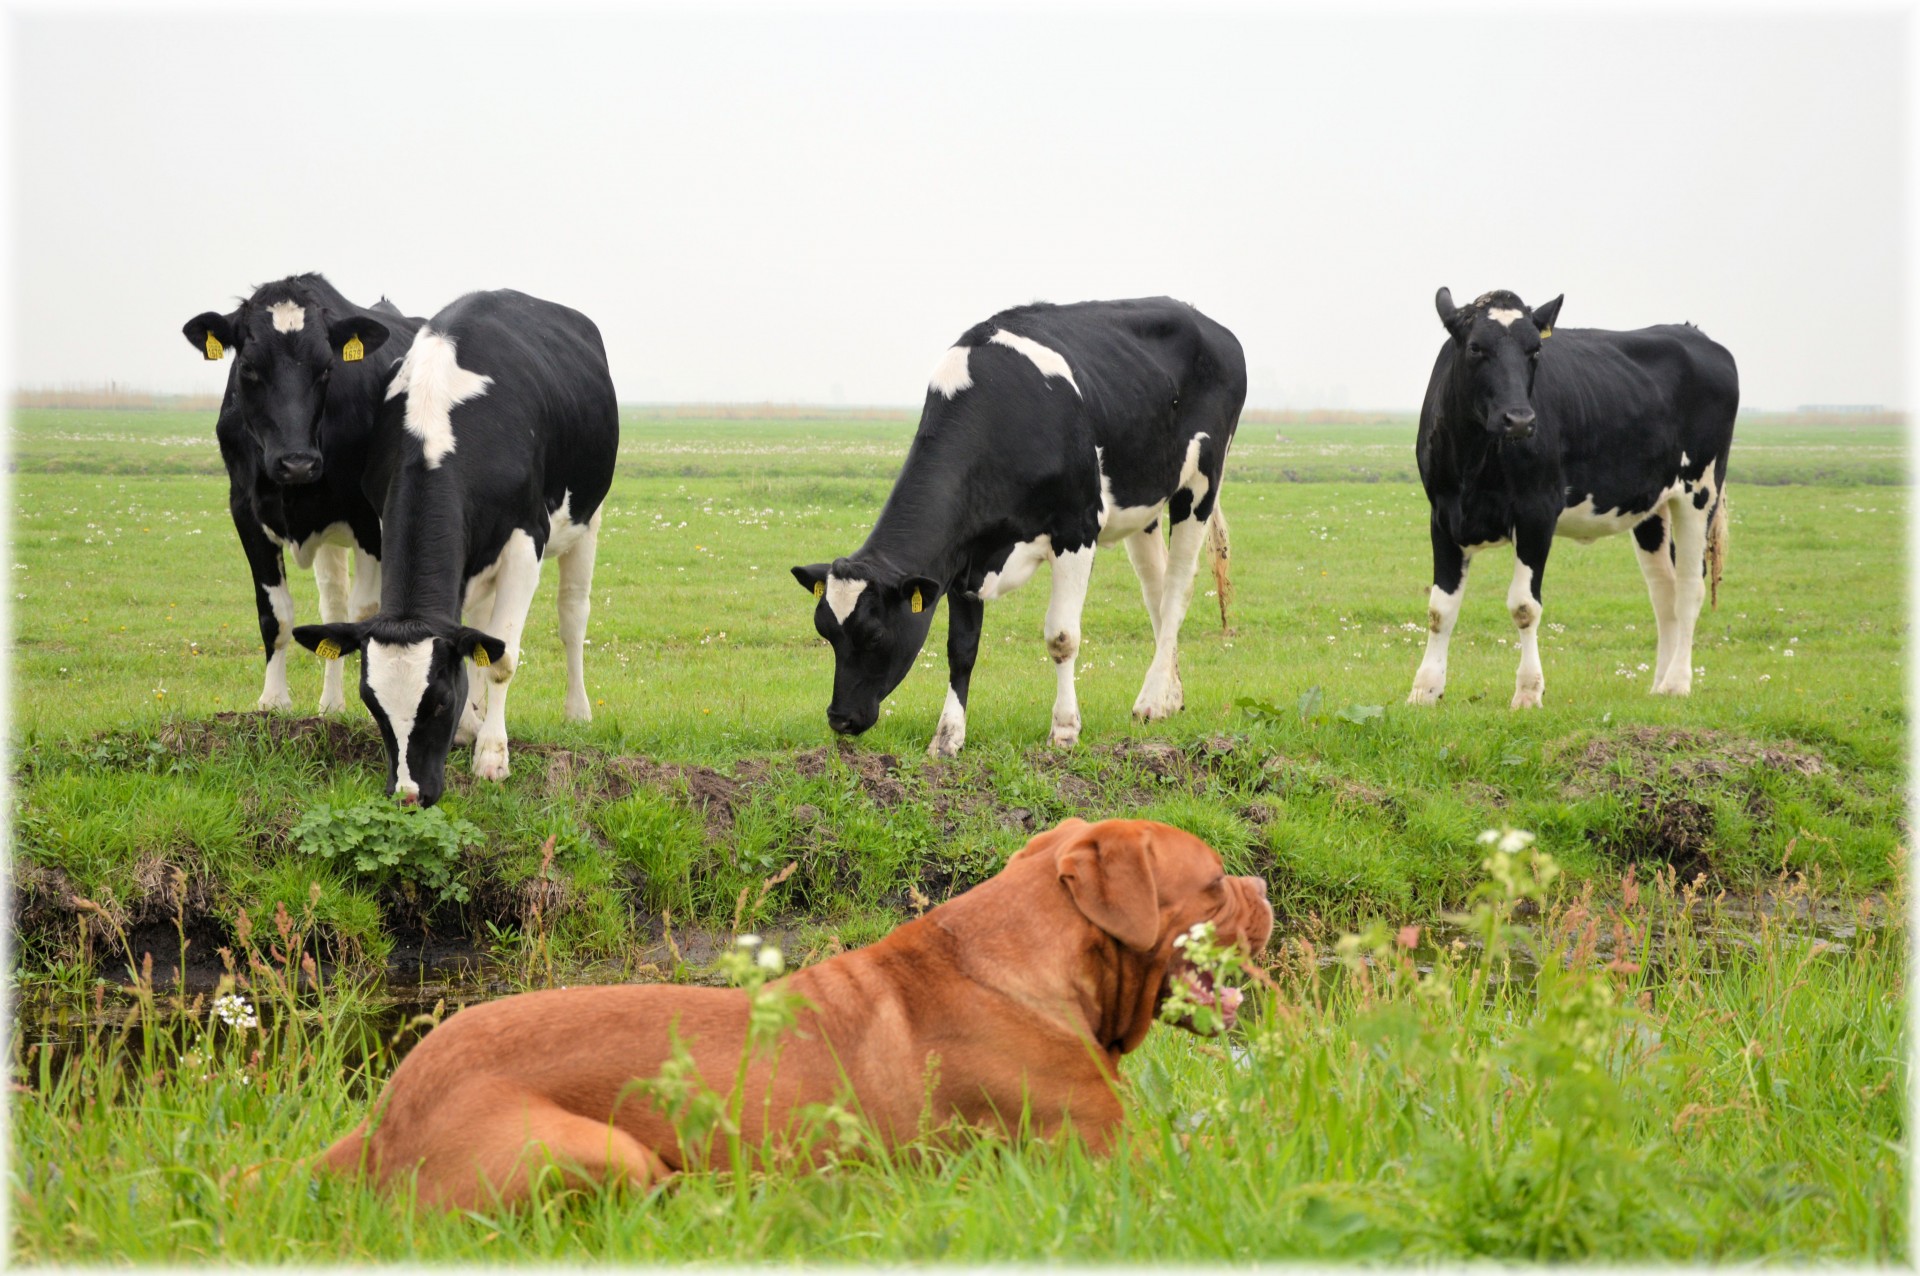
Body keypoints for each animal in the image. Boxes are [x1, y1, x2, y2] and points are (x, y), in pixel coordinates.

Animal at [180, 274, 420, 709]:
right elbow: (275, 614)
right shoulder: (245, 513)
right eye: (248, 366)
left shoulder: (369, 521)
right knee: (332, 606)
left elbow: (364, 612)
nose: (298, 463)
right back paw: (331, 704)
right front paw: (273, 700)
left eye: (327, 367)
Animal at [291, 289, 614, 805]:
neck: (436, 430)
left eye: (439, 703)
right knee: (478, 626)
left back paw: (576, 711)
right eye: (370, 702)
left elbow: (503, 657)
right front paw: (472, 729)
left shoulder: (526, 538)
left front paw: (492, 756)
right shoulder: (384, 518)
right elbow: (476, 644)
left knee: (571, 616)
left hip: (587, 518)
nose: (407, 793)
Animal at [320, 809, 1267, 1212]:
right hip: (603, 1152)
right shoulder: (1108, 1152)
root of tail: (386, 1117)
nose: (1263, 887)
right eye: (1217, 879)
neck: (1027, 964)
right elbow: (1217, 1150)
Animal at [791, 295, 1244, 756]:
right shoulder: (963, 556)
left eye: (876, 636)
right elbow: (960, 649)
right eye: (826, 633)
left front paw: (1064, 730)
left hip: (1201, 483)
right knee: (1156, 593)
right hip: (1144, 506)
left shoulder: (1076, 529)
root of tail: (1202, 318)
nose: (840, 718)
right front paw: (947, 737)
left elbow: (1062, 637)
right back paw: (1170, 697)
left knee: (1176, 592)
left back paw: (1150, 701)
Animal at [1413, 285, 1743, 706]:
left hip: (1699, 491)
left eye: (1535, 350)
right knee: (1663, 592)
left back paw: (1677, 682)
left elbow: (1524, 606)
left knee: (1689, 589)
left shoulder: (1537, 513)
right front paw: (1425, 689)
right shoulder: (1442, 516)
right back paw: (1658, 684)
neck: (1474, 459)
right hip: (1653, 507)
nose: (1519, 420)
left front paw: (1528, 692)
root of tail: (1693, 332)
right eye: (1475, 347)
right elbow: (1440, 608)